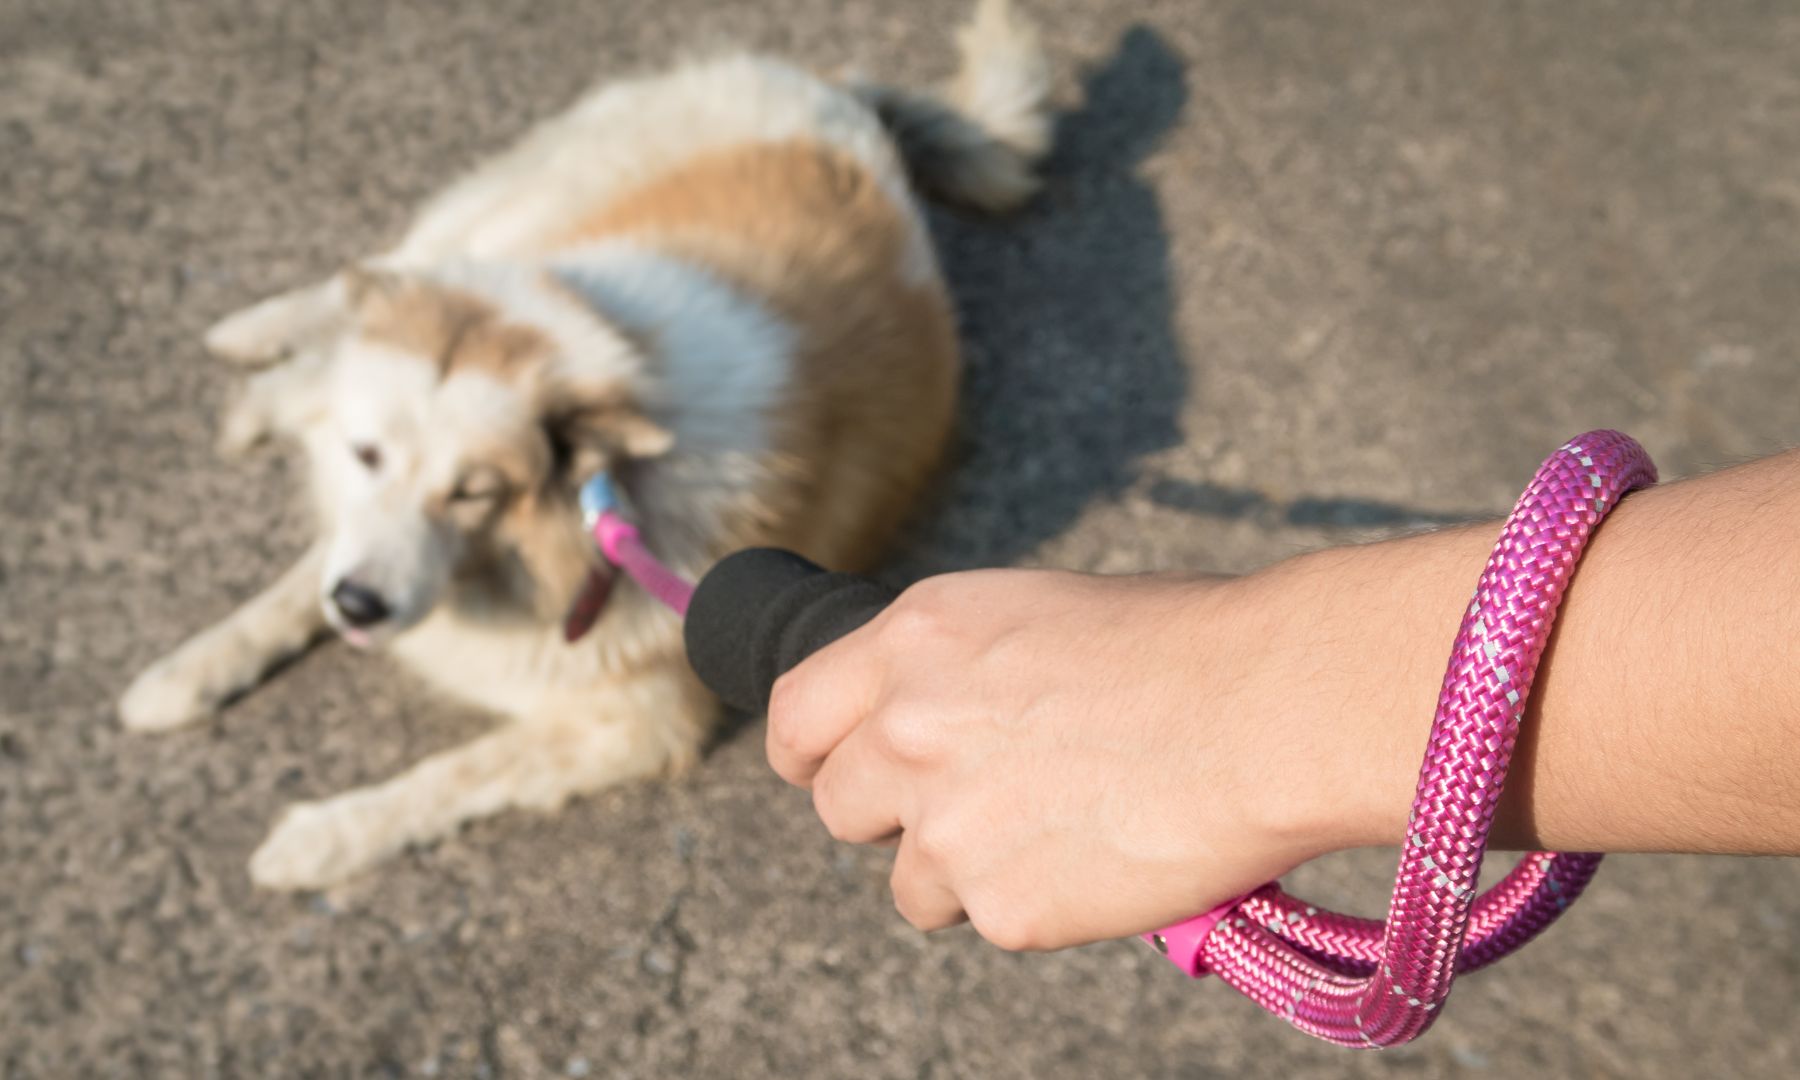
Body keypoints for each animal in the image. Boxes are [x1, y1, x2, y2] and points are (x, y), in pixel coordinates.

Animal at [119, 0, 1051, 889]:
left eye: (475, 491)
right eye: (367, 456)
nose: (359, 609)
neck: (579, 517)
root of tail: (841, 97)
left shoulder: (636, 723)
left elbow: (456, 773)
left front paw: (320, 839)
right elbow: (285, 595)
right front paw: (187, 672)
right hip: (517, 214)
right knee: (389, 267)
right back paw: (264, 347)